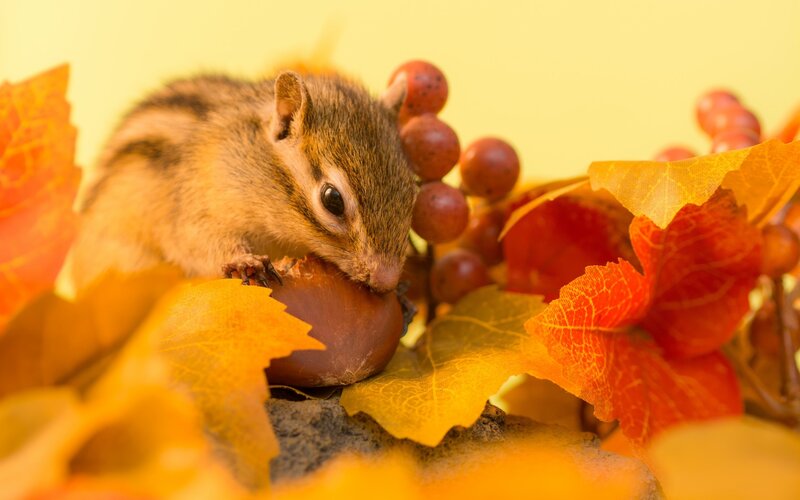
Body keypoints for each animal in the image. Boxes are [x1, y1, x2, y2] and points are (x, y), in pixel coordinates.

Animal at [70, 70, 417, 293]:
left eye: (412, 190)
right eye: (332, 200)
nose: (386, 279)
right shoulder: (195, 204)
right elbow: (196, 241)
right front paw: (244, 260)